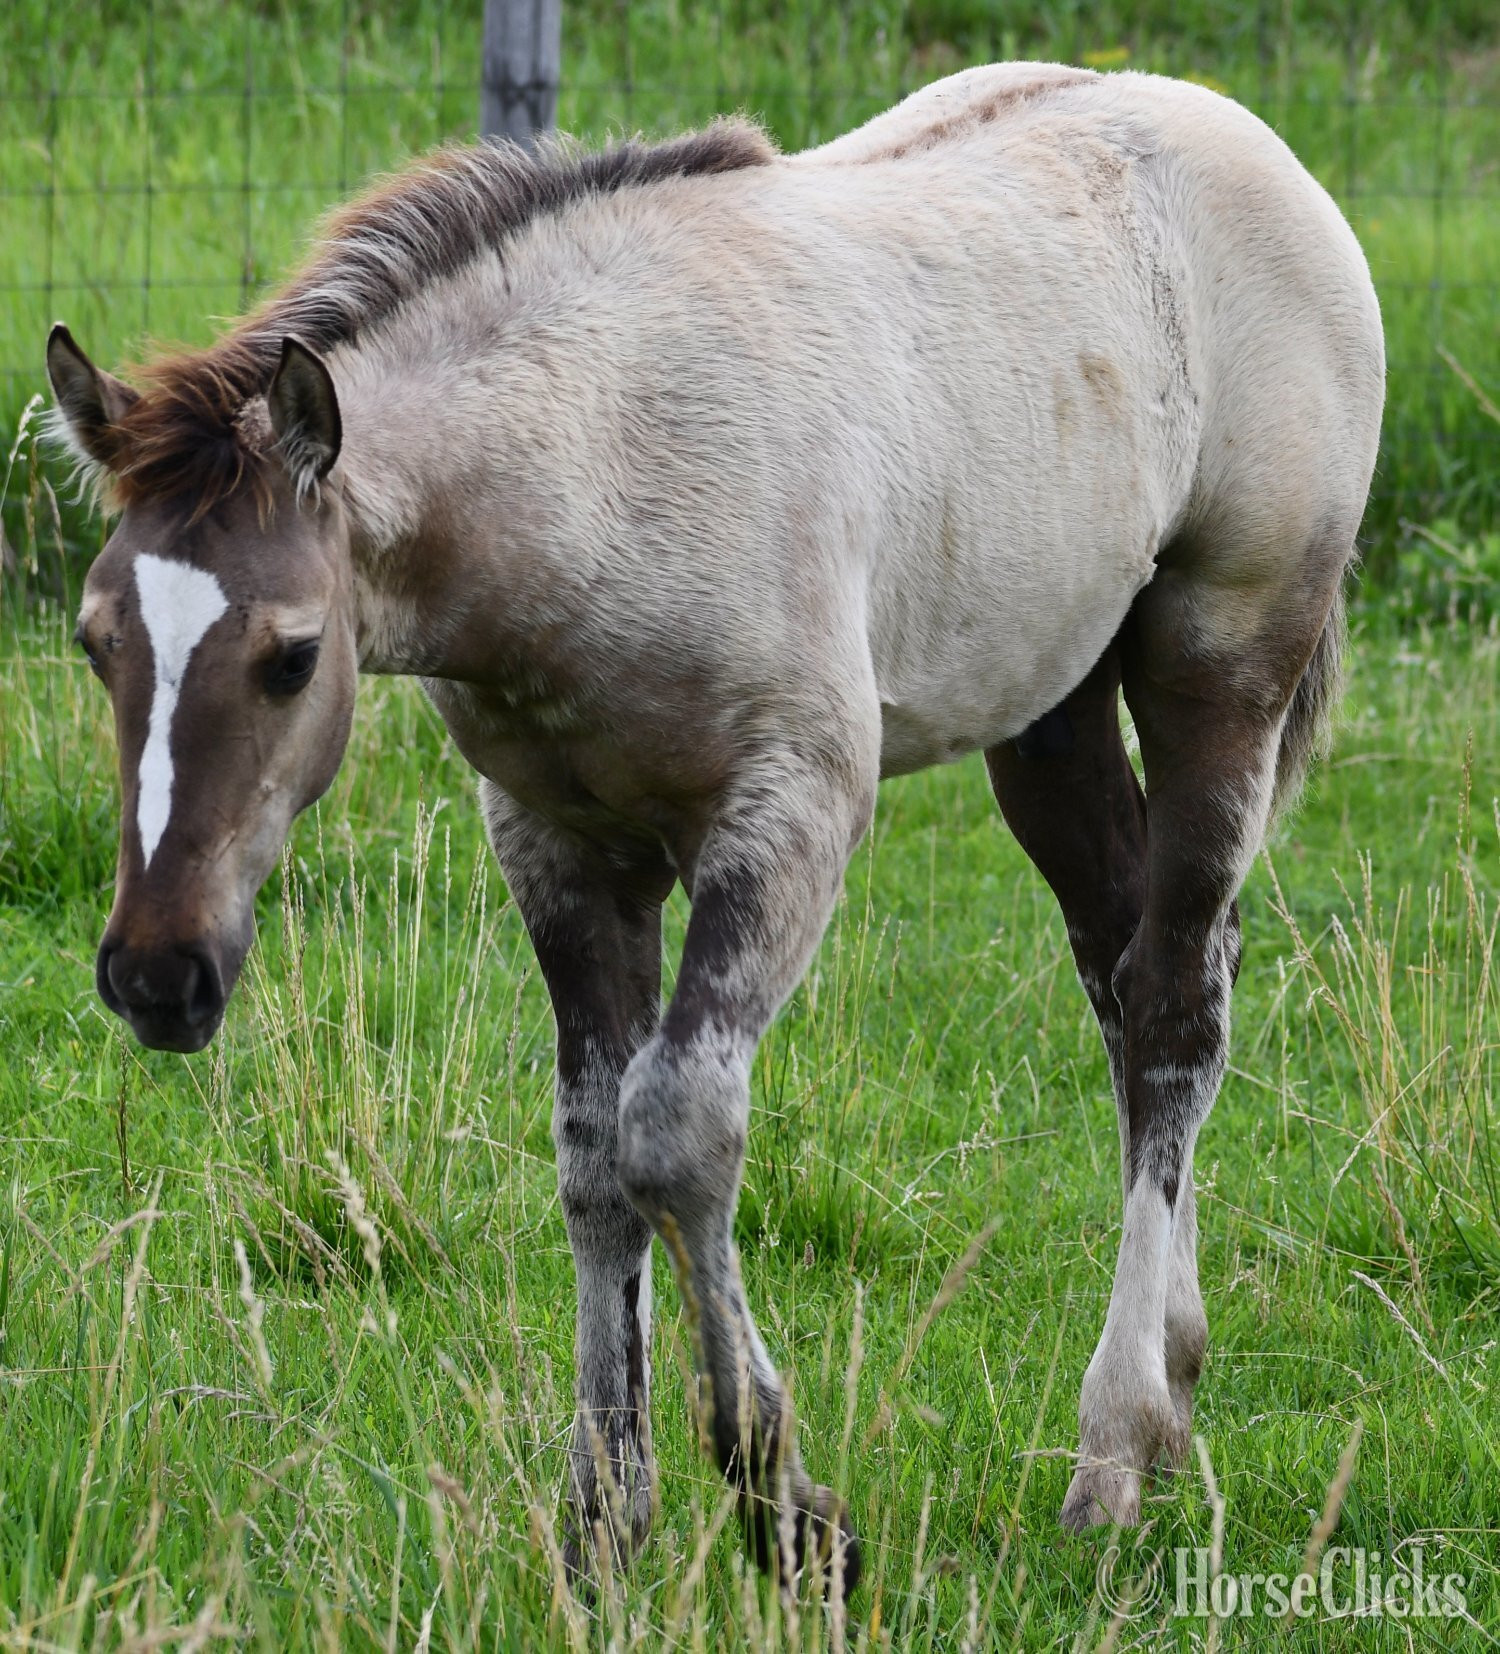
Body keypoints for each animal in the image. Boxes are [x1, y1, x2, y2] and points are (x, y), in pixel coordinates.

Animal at [46, 62, 1383, 1594]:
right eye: (94, 641)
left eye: (290, 655)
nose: (159, 973)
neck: (598, 460)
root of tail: (1235, 131)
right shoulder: (559, 845)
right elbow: (591, 1158)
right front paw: (605, 1525)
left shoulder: (791, 813)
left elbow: (676, 1130)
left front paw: (788, 1512)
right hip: (1049, 705)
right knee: (1124, 975)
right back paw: (1172, 1380)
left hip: (1222, 658)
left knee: (1175, 1005)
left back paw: (1112, 1450)